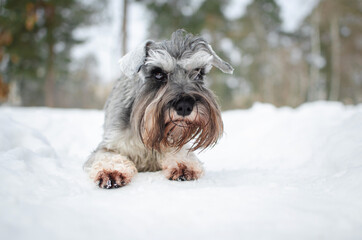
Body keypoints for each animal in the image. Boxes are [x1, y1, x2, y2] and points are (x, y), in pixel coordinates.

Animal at [83, 29, 233, 188]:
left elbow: (180, 152)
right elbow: (108, 155)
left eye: (198, 73)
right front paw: (111, 170)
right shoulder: (109, 144)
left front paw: (184, 165)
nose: (185, 106)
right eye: (158, 74)